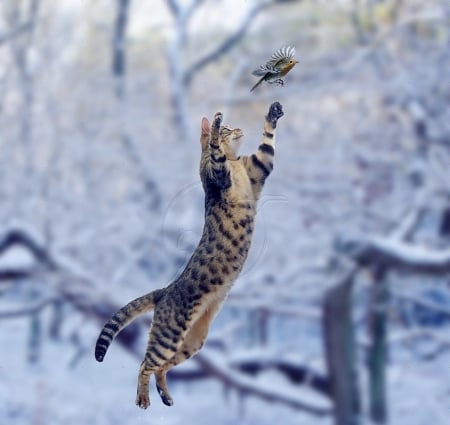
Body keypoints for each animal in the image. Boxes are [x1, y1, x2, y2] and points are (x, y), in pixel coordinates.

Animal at [95, 100, 284, 408]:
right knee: (145, 364)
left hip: (193, 341)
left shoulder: (258, 168)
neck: (235, 161)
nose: (239, 129)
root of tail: (165, 290)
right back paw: (143, 398)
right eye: (230, 128)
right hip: (170, 335)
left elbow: (267, 145)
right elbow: (216, 148)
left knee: (161, 367)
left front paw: (273, 113)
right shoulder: (218, 173)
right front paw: (216, 124)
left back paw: (165, 396)